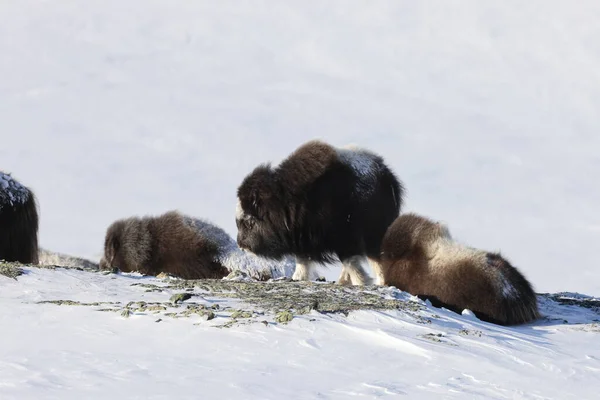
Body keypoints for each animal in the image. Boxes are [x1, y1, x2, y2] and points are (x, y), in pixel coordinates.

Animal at [234, 139, 404, 286]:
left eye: (248, 222)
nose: (241, 245)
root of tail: (387, 175)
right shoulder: (303, 240)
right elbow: (302, 261)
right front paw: (298, 278)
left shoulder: (345, 237)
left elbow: (351, 262)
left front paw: (361, 282)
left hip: (374, 234)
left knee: (376, 260)